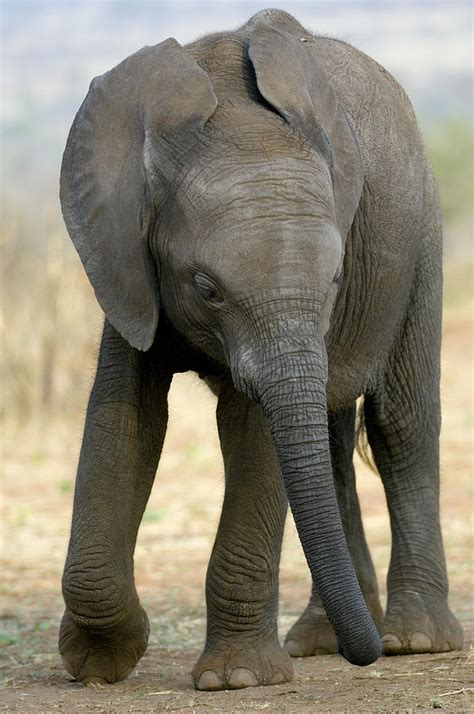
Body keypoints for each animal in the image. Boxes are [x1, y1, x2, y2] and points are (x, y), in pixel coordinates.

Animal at [58, 8, 462, 688]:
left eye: (336, 279)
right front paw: (98, 662)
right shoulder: (129, 265)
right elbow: (124, 416)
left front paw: (237, 680)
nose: (365, 655)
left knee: (401, 426)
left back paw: (414, 641)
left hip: (422, 240)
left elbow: (253, 430)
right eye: (205, 288)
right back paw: (321, 641)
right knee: (329, 445)